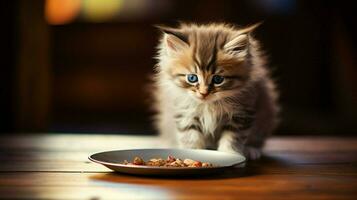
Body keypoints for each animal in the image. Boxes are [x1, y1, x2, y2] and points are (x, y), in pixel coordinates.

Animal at [150, 22, 278, 159]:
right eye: (192, 78)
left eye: (218, 79)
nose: (203, 93)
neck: (209, 105)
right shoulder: (185, 112)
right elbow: (190, 136)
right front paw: (192, 153)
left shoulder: (242, 113)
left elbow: (233, 138)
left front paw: (230, 155)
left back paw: (251, 149)